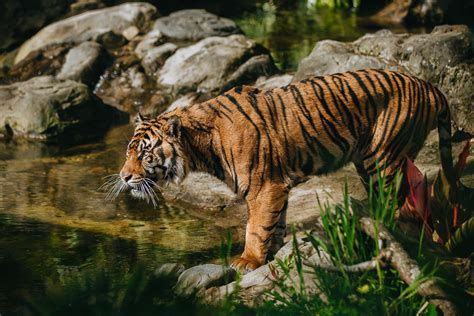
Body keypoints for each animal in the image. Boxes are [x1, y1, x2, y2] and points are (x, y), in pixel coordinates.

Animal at [115, 69, 460, 274]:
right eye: (128, 152)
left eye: (145, 154)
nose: (123, 177)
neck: (201, 146)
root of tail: (429, 86)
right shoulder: (276, 187)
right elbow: (275, 223)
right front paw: (275, 253)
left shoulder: (264, 187)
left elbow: (256, 226)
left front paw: (247, 260)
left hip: (383, 159)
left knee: (400, 203)